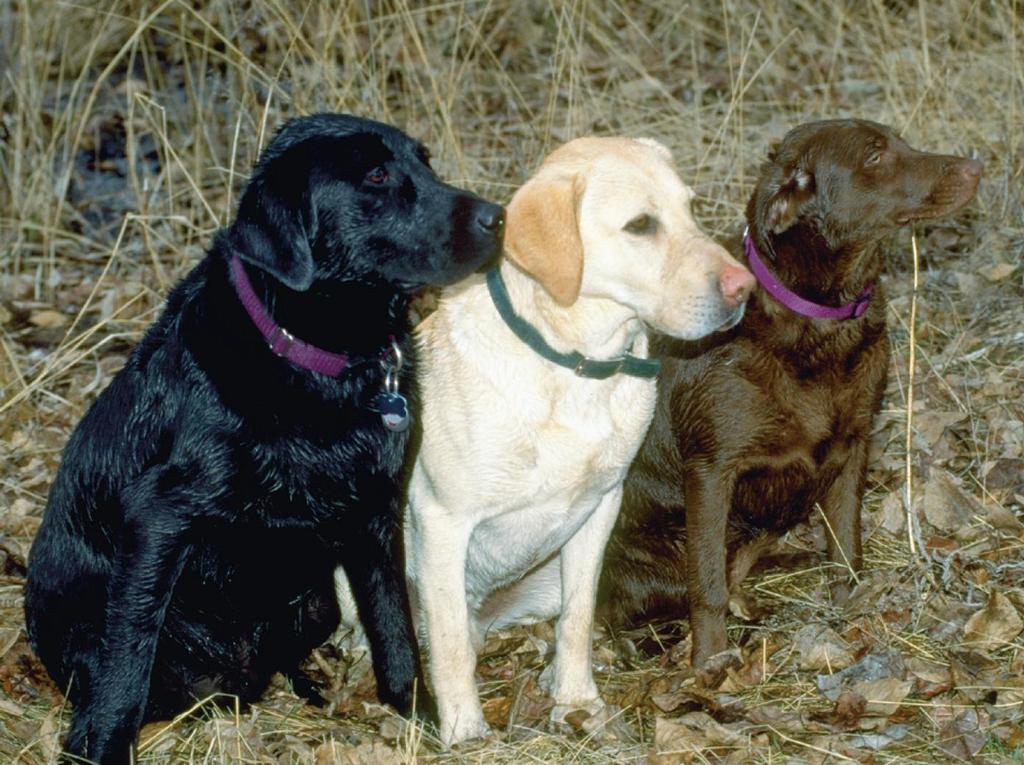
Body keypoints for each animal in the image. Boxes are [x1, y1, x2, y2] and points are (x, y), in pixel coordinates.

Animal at [24, 113, 503, 765]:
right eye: (376, 176)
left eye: (424, 163)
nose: (499, 216)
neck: (316, 362)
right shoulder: (158, 520)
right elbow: (127, 663)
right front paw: (104, 748)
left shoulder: (375, 511)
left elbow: (393, 625)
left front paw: (417, 715)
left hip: (315, 601)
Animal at [403, 134, 757, 745]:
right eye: (640, 225)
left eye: (690, 209)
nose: (746, 288)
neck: (576, 365)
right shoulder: (442, 519)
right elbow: (448, 646)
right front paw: (464, 727)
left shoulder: (599, 511)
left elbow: (577, 619)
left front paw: (576, 699)